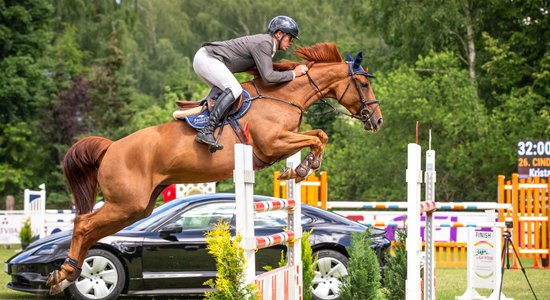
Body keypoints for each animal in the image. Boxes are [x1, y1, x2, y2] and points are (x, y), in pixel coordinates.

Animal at [47, 42, 384, 296]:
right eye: (364, 83)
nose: (377, 121)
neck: (284, 96)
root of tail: (110, 148)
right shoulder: (273, 143)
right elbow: (317, 136)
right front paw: (303, 168)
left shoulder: (283, 141)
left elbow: (318, 135)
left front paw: (300, 169)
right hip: (126, 203)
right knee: (84, 224)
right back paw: (64, 274)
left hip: (137, 207)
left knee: (92, 229)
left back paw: (67, 274)